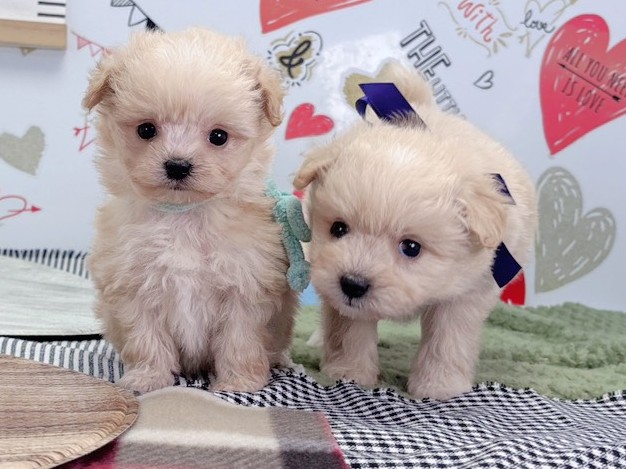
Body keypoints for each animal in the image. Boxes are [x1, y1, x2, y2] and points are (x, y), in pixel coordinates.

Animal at [83, 28, 298, 393]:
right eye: (146, 130)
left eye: (218, 136)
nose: (178, 165)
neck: (183, 215)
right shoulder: (133, 287)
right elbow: (146, 338)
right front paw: (147, 378)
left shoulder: (246, 288)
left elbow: (240, 340)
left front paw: (238, 383)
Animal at [293, 61, 537, 400]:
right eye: (338, 228)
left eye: (411, 247)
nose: (353, 284)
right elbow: (350, 329)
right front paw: (349, 374)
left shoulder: (467, 292)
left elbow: (447, 340)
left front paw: (439, 387)